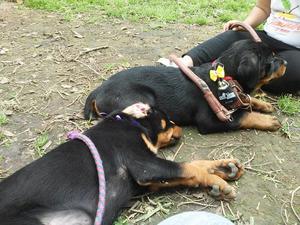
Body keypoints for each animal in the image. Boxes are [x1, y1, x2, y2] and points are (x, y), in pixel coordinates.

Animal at [0, 103, 244, 225]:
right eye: (167, 121)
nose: (180, 128)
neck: (132, 124)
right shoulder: (144, 165)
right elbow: (189, 166)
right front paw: (220, 183)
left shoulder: (149, 180)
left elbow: (194, 166)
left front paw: (224, 167)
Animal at [84, 39, 286, 134]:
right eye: (271, 60)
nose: (285, 62)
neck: (223, 76)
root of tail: (97, 91)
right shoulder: (210, 120)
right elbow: (243, 116)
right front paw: (268, 121)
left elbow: (247, 99)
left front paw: (264, 105)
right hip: (142, 98)